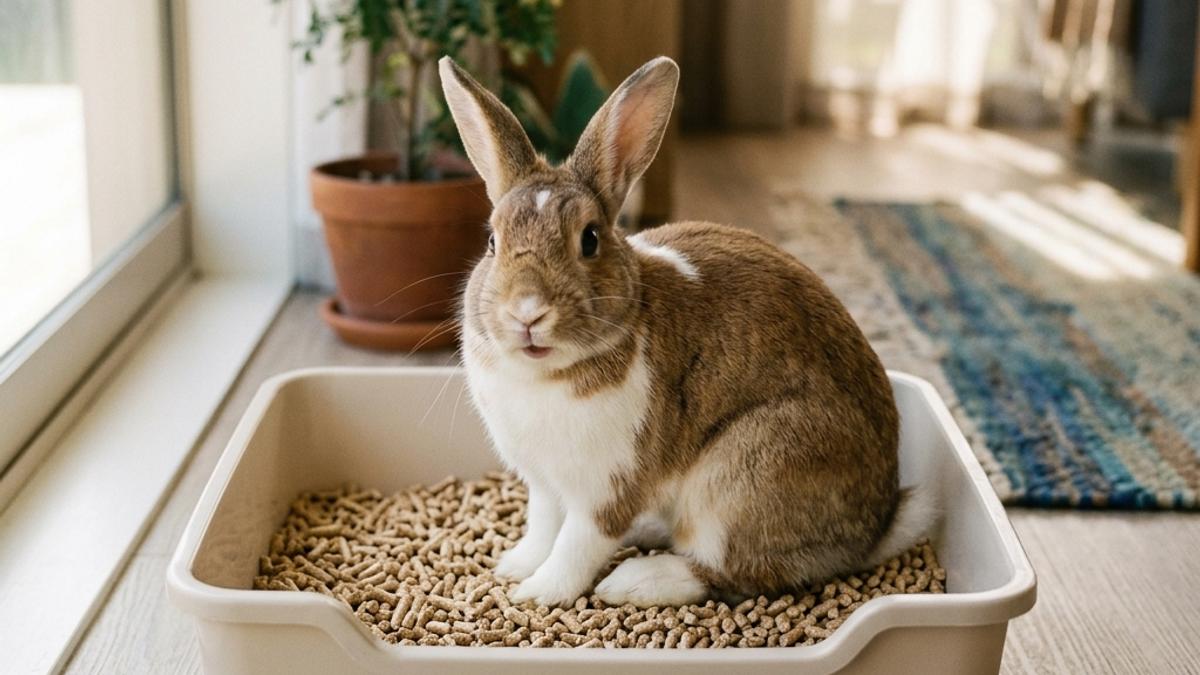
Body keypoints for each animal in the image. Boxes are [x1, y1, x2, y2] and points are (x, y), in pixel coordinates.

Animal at [439, 55, 933, 608]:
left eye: (590, 239)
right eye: (491, 241)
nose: (527, 313)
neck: (546, 374)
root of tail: (875, 527)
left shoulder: (608, 491)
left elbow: (575, 546)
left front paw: (538, 594)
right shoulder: (544, 485)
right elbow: (543, 527)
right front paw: (514, 566)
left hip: (743, 480)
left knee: (734, 572)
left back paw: (635, 581)